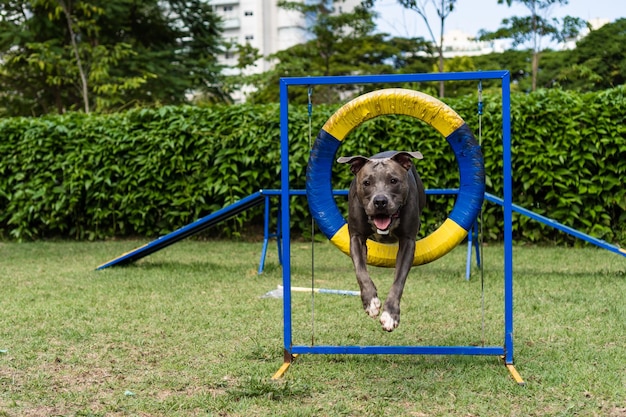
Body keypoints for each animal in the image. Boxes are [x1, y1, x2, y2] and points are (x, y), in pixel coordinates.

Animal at [336, 150, 424, 332]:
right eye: (366, 182)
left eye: (393, 180)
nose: (380, 201)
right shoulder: (356, 238)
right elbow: (360, 271)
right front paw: (371, 302)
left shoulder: (408, 242)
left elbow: (398, 281)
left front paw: (390, 315)